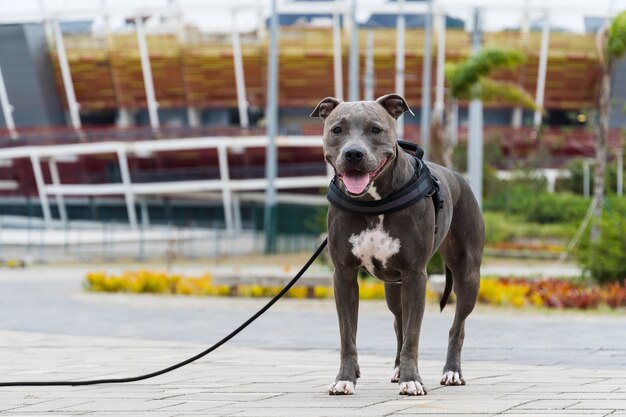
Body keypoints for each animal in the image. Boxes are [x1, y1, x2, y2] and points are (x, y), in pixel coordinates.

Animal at [310, 92, 482, 394]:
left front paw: (412, 380)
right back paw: (398, 368)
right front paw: (346, 377)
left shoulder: (415, 275)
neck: (373, 202)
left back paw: (451, 371)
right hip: (393, 287)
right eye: (337, 129)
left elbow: (414, 335)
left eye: (375, 130)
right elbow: (347, 334)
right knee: (398, 322)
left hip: (468, 275)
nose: (353, 154)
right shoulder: (343, 275)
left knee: (457, 326)